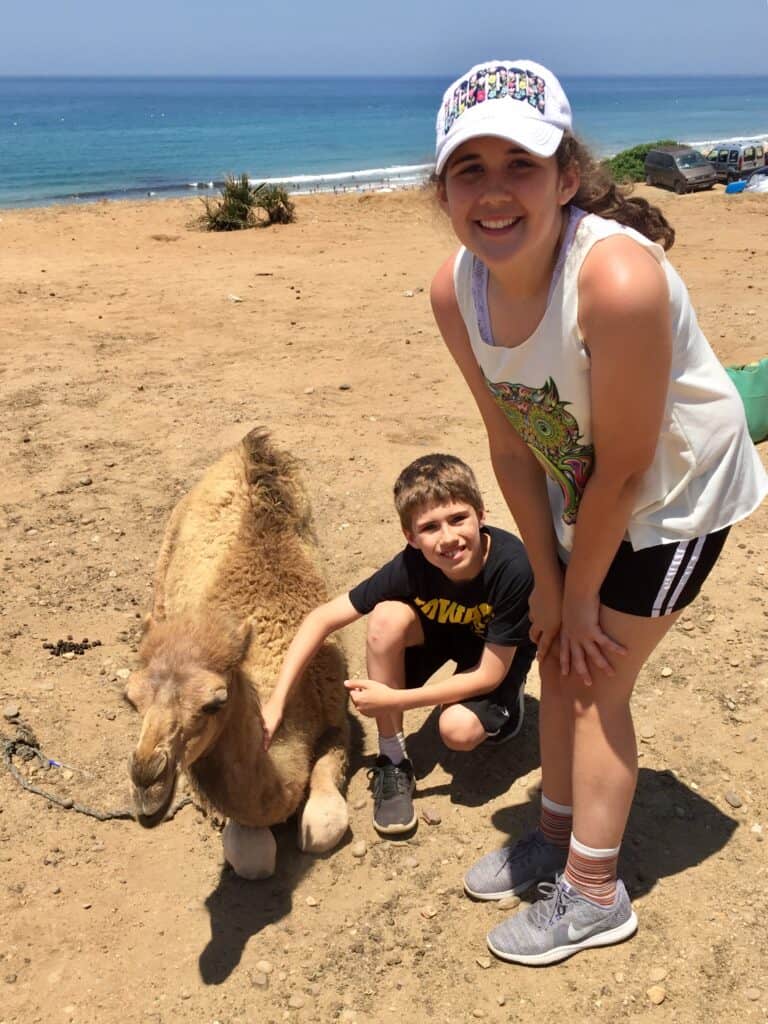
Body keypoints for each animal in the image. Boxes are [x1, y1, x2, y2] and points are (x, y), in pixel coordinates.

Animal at [124, 428, 350, 876]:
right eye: (130, 700)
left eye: (215, 702)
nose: (146, 780)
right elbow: (252, 857)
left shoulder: (341, 721)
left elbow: (323, 822)